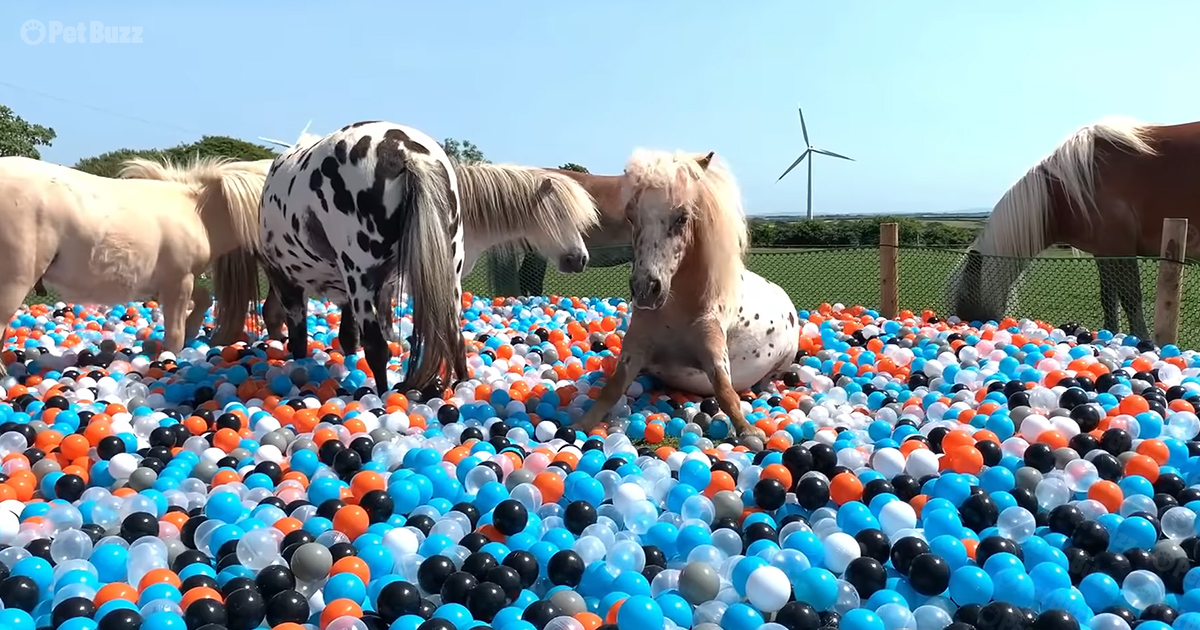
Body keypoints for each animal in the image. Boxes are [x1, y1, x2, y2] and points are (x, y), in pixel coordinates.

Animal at [0, 156, 264, 374]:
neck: (197, 211)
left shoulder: (175, 282)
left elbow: (204, 299)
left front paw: (192, 329)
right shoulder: (179, 281)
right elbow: (175, 335)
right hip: (15, 283)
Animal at [210, 120, 600, 393]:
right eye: (559, 215)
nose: (580, 259)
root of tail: (404, 151)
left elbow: (342, 338)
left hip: (363, 278)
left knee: (385, 344)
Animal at [575, 150, 800, 441]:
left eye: (682, 217)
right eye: (631, 216)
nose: (645, 290)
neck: (677, 311)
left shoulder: (715, 355)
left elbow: (726, 393)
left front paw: (750, 432)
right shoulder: (634, 350)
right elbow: (610, 390)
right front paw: (579, 425)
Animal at [950, 117, 1200, 340]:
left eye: (964, 300)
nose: (968, 328)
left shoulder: (1121, 248)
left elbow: (1130, 298)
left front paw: (1142, 340)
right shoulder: (1104, 252)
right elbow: (1108, 298)